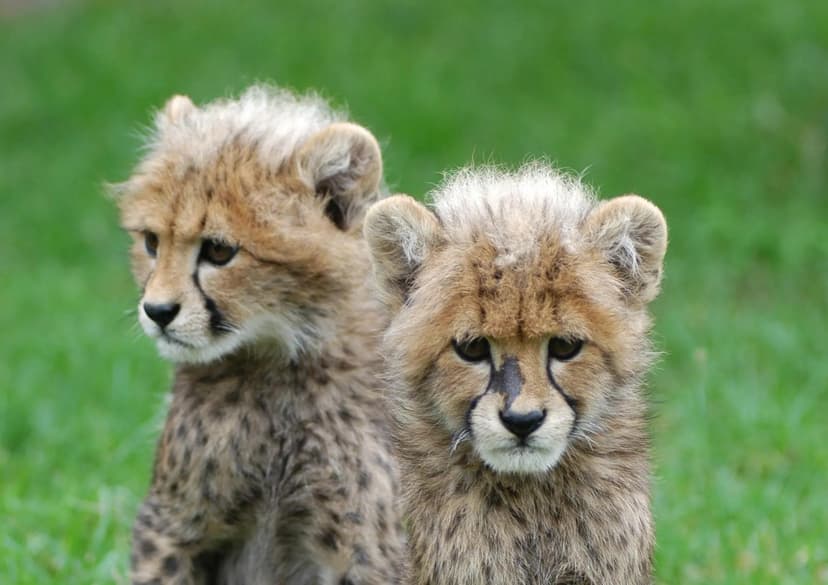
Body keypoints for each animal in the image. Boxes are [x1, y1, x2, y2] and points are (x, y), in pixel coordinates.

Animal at [114, 85, 405, 585]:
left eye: (218, 251)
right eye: (151, 242)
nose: (157, 311)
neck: (275, 367)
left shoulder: (367, 549)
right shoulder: (172, 524)